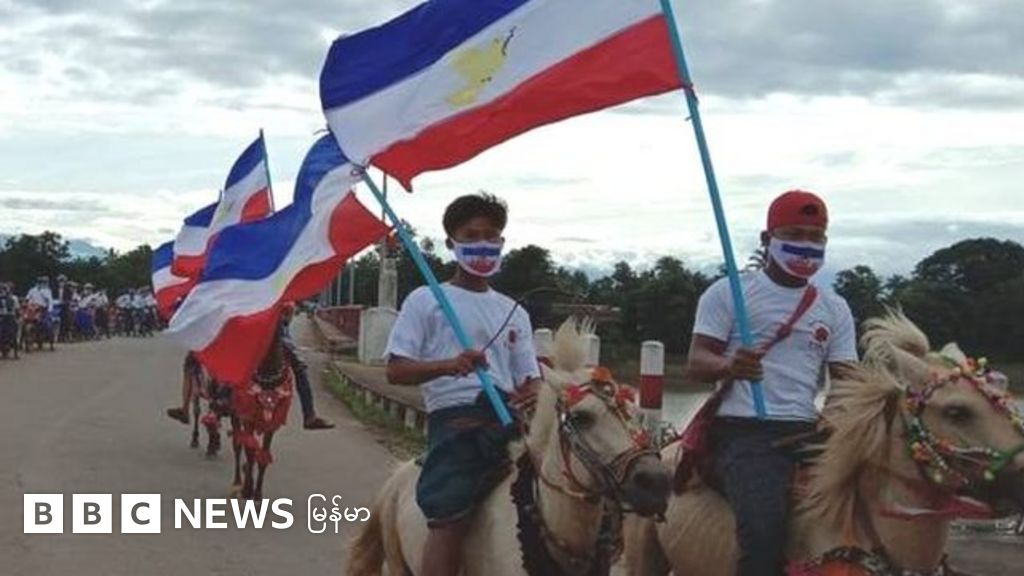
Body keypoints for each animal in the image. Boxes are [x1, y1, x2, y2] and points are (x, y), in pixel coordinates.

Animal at [228, 328, 294, 500]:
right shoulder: (248, 417)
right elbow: (250, 451)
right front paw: (247, 489)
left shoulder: (273, 422)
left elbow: (263, 455)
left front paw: (257, 494)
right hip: (235, 413)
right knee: (238, 444)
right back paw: (237, 481)